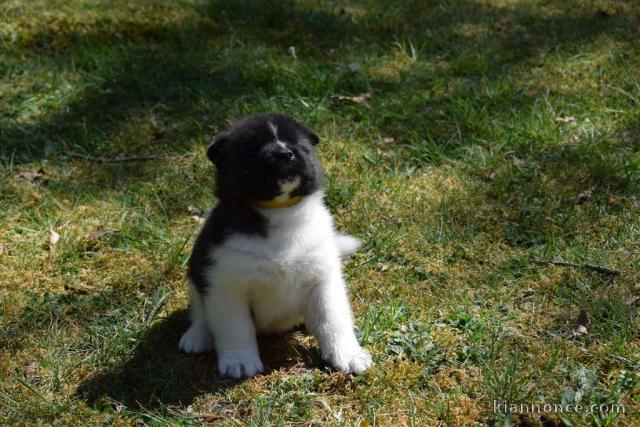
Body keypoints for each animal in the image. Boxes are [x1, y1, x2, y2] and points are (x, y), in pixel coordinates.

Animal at [178, 113, 372, 378]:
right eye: (253, 148)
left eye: (299, 146)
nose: (283, 153)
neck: (281, 214)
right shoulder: (226, 288)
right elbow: (235, 329)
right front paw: (240, 361)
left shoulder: (323, 280)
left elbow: (333, 320)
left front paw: (348, 355)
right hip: (196, 276)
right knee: (200, 312)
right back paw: (198, 336)